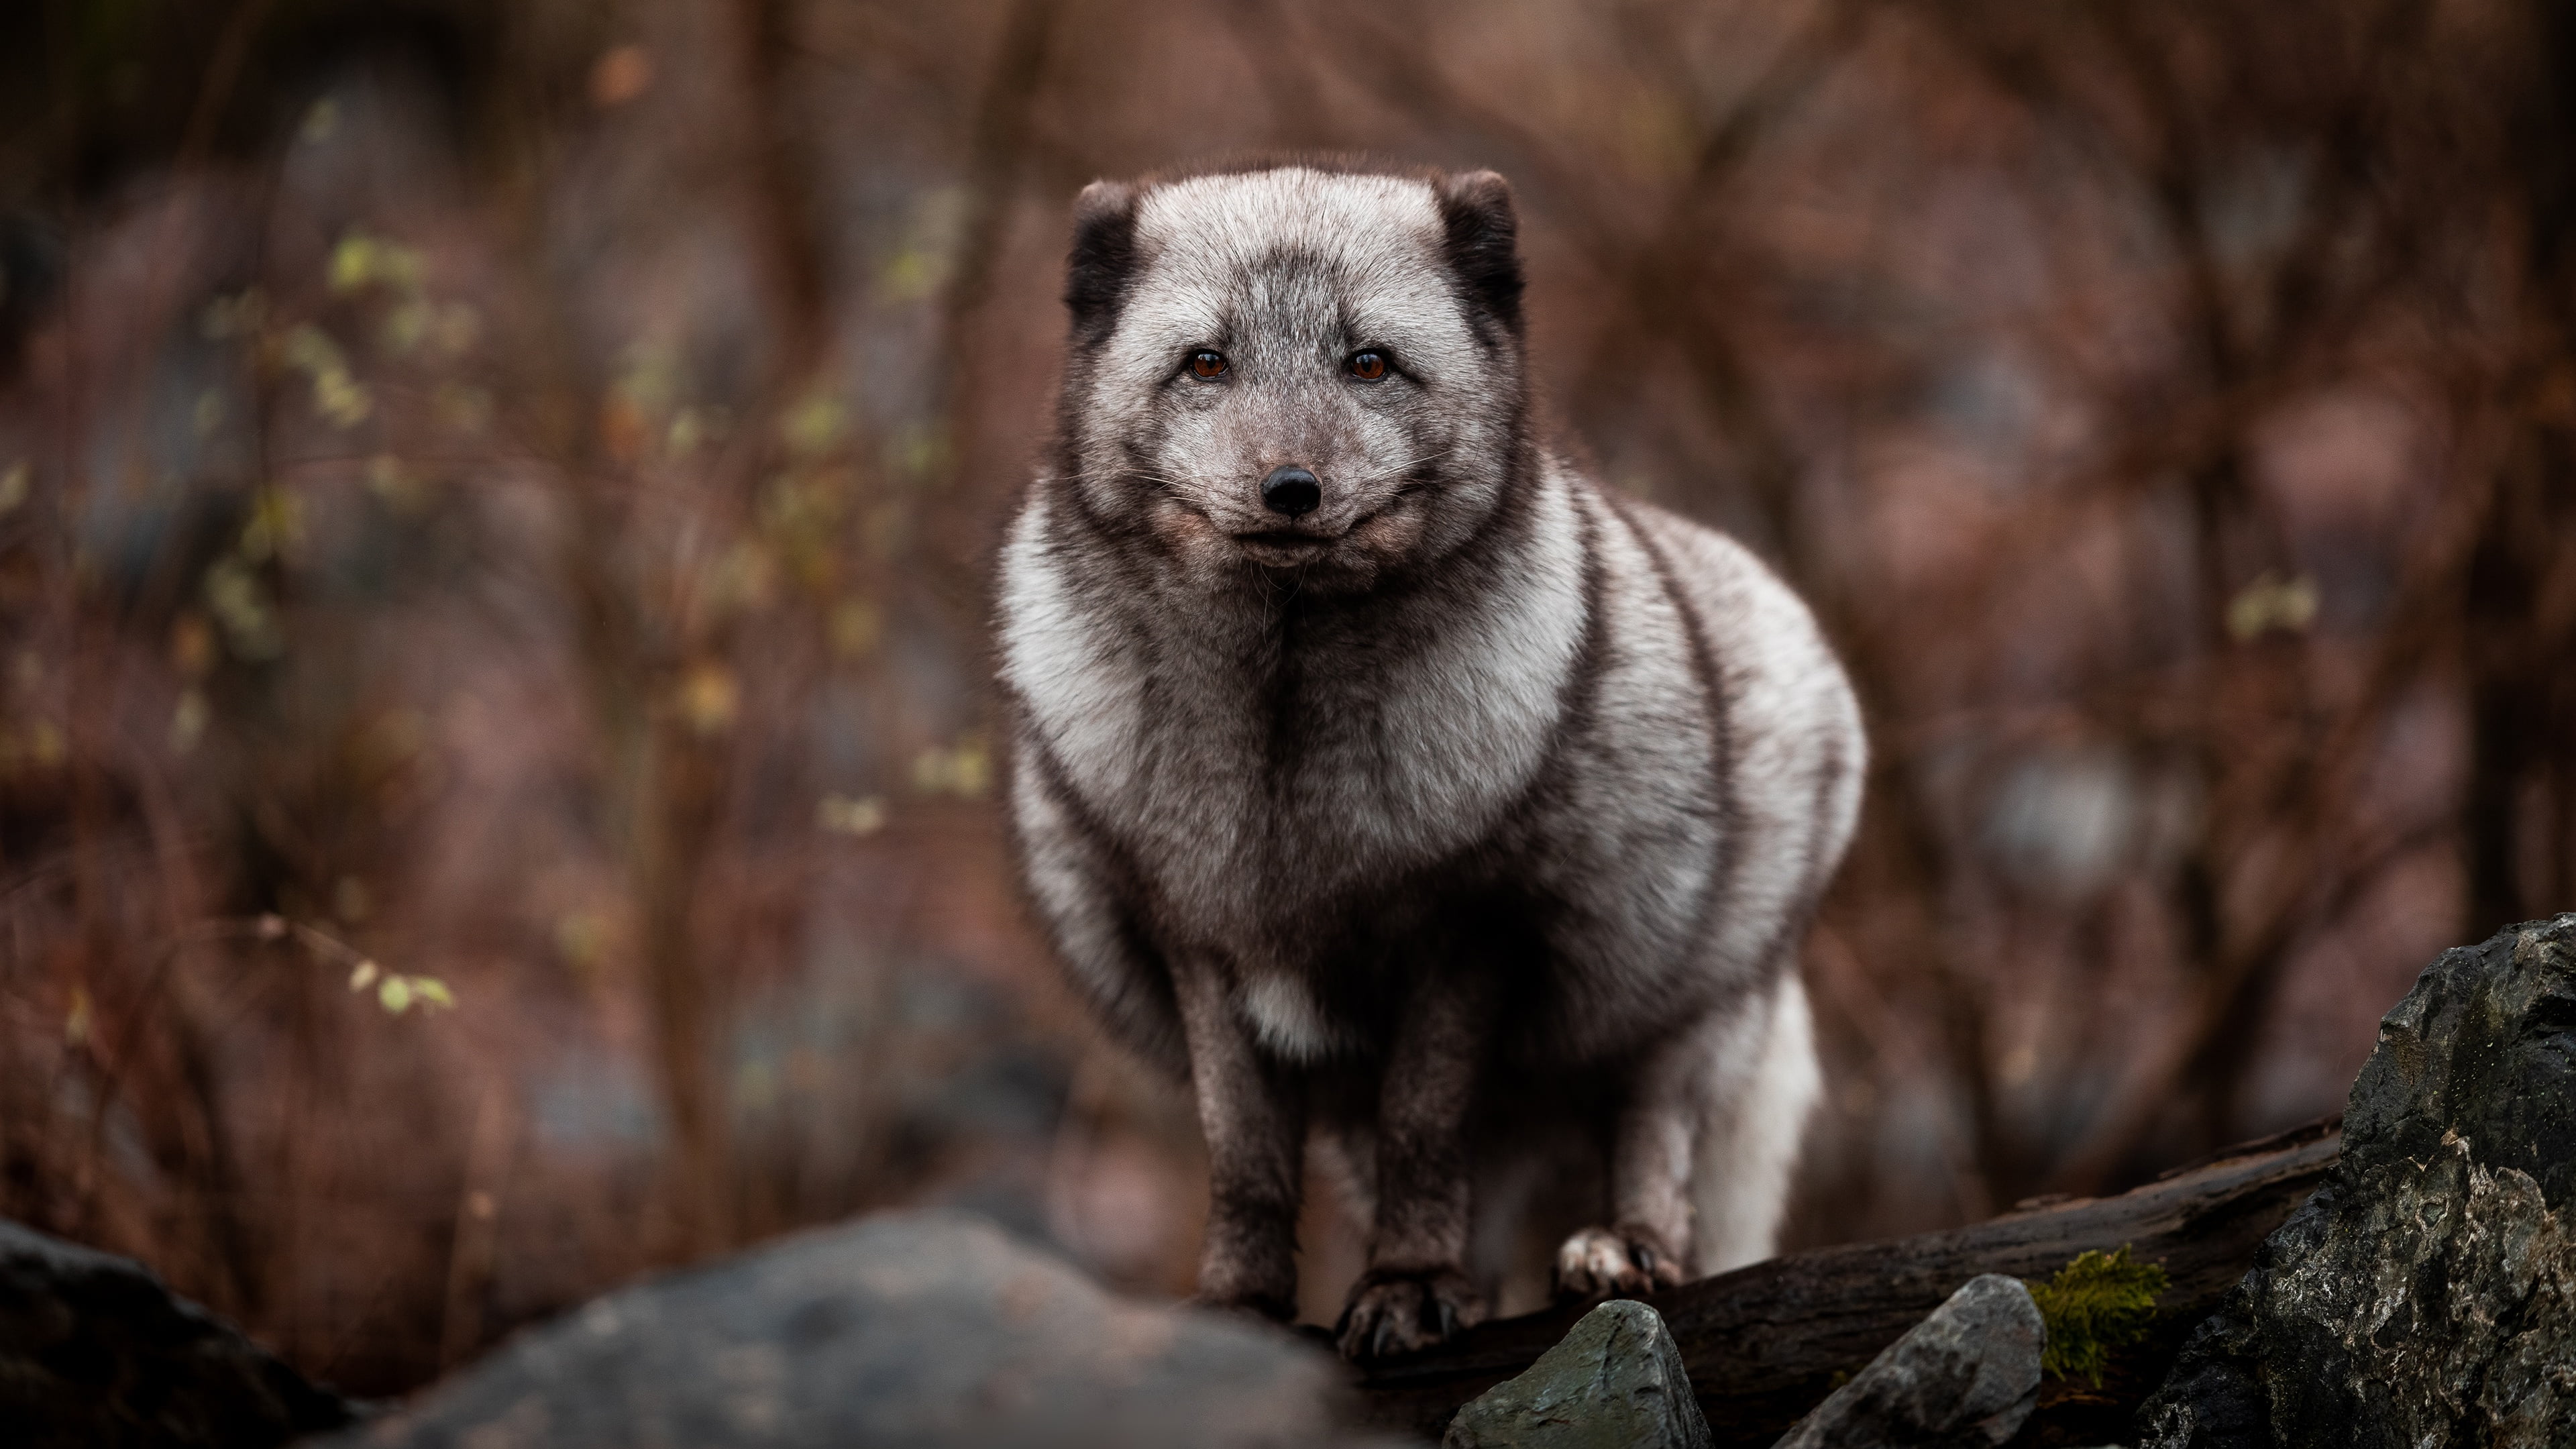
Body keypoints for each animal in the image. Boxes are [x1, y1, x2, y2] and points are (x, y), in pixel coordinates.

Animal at [996, 161, 1864, 1360]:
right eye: (1205, 362)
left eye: (1370, 362)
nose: (1291, 488)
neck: (1281, 757)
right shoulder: (1198, 945)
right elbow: (1245, 1158)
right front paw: (1240, 1308)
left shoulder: (1469, 932)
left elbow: (1424, 1125)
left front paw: (1407, 1284)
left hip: (1690, 1002)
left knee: (1656, 1140)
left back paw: (1625, 1249)